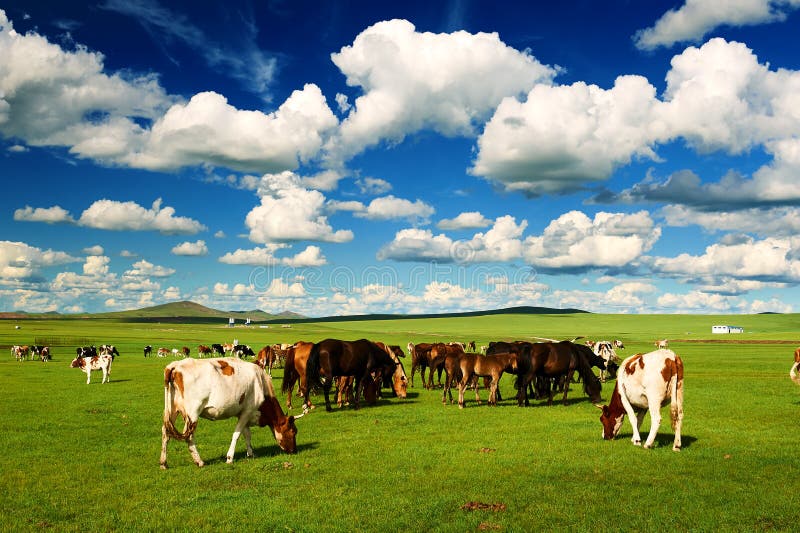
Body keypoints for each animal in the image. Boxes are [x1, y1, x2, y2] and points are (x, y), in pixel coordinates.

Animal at [160, 356, 304, 468]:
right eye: (293, 431)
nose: (294, 450)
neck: (261, 384)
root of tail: (175, 366)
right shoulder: (247, 411)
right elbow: (237, 434)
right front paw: (230, 458)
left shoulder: (243, 413)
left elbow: (247, 434)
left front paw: (250, 453)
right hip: (193, 413)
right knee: (189, 436)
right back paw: (199, 461)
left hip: (172, 410)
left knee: (166, 432)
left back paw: (163, 463)